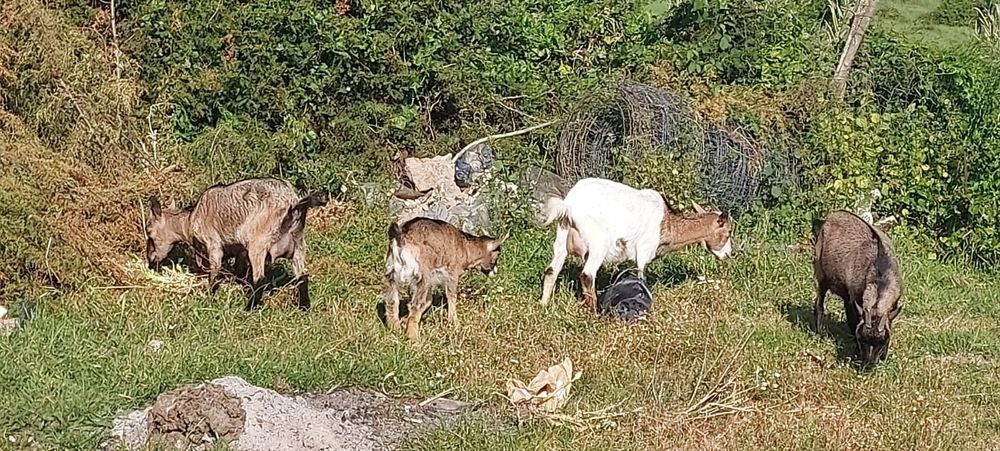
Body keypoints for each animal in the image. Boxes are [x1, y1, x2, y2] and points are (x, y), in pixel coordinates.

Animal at [146, 178, 327, 310]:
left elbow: (215, 273)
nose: (150, 261)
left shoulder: (214, 245)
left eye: (150, 233)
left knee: (260, 278)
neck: (190, 221)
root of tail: (293, 205)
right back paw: (304, 307)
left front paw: (210, 297)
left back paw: (249, 308)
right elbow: (239, 270)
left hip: (258, 243)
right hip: (298, 244)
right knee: (302, 276)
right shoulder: (240, 250)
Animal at [540, 177, 733, 311]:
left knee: (551, 270)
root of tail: (569, 206)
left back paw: (544, 304)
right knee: (587, 274)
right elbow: (640, 276)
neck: (667, 222)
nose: (729, 254)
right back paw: (594, 311)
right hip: (598, 242)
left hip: (562, 235)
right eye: (729, 232)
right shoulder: (643, 250)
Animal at [813, 210, 902, 369]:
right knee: (819, 302)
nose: (869, 364)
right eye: (862, 340)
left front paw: (884, 356)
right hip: (821, 272)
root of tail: (829, 218)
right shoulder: (853, 300)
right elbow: (853, 321)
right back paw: (820, 331)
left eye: (883, 341)